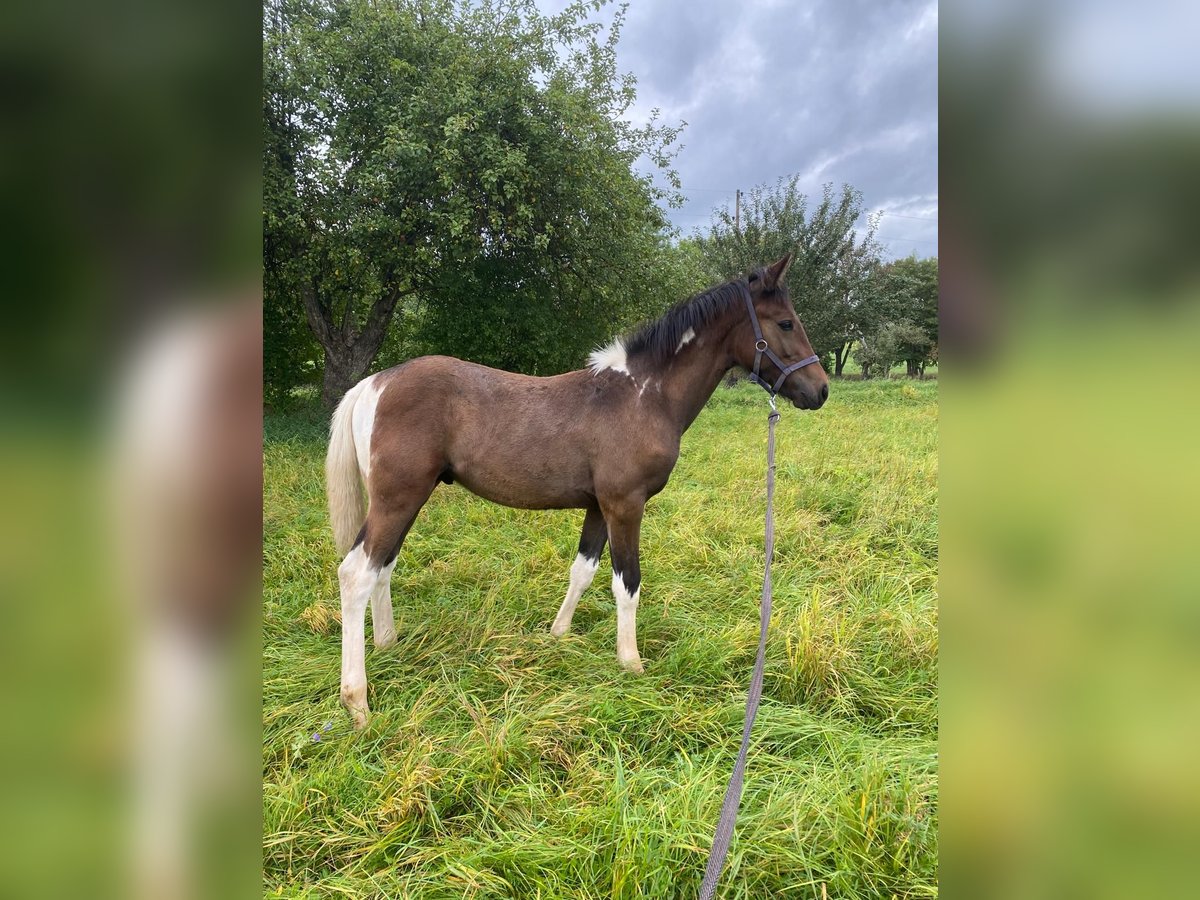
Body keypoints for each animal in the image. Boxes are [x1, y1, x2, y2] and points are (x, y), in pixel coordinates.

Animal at [326, 254, 829, 727]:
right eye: (785, 322)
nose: (820, 390)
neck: (643, 396)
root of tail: (375, 382)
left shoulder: (599, 507)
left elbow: (583, 570)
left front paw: (558, 635)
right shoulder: (625, 505)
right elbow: (627, 582)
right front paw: (631, 664)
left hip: (404, 501)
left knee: (383, 566)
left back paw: (389, 645)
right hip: (398, 499)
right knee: (356, 573)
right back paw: (357, 702)